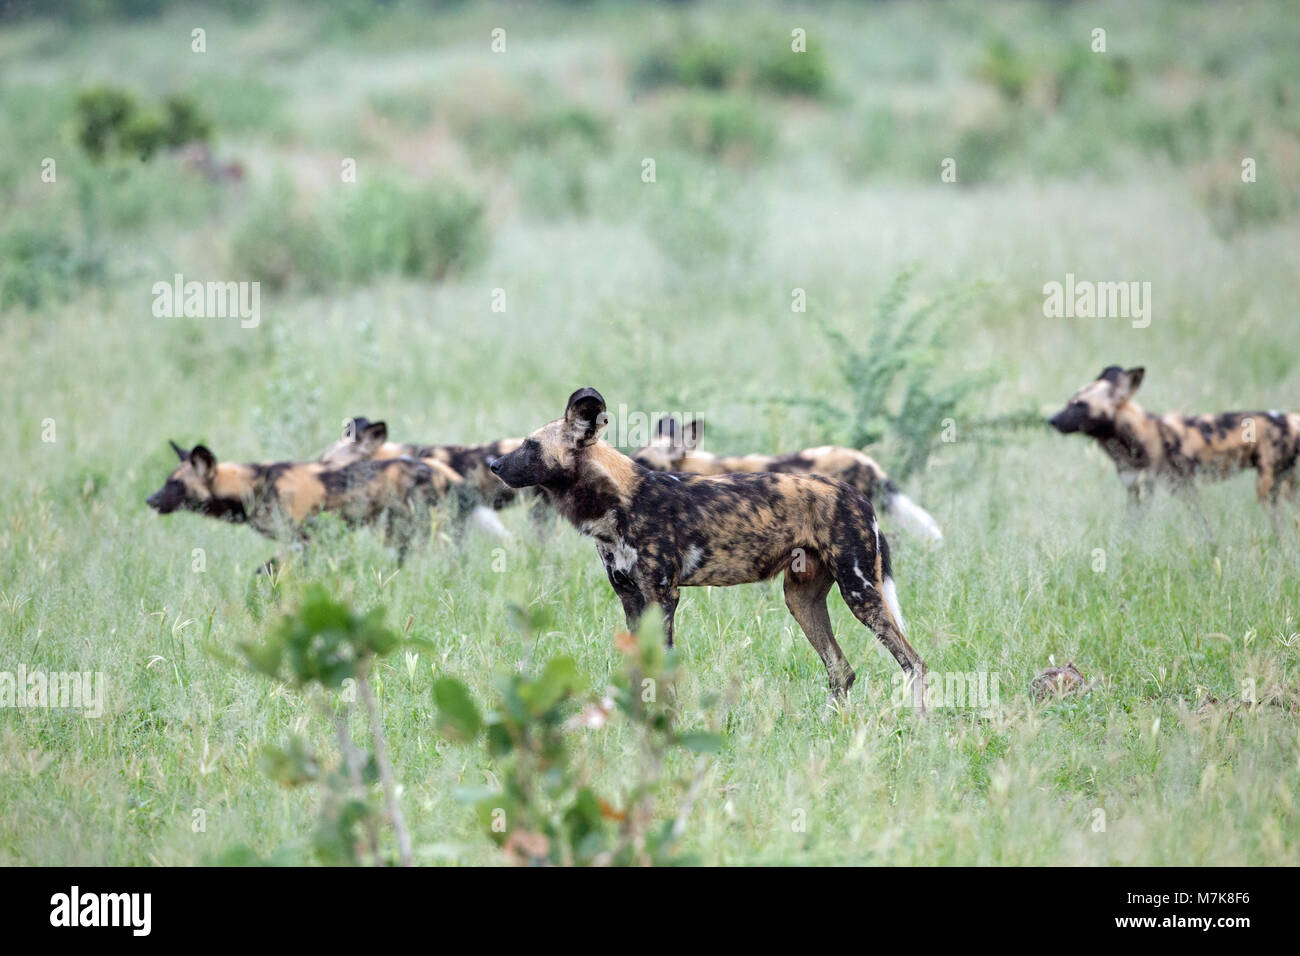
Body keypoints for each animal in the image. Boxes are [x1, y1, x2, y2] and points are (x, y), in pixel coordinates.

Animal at [488, 387, 925, 702]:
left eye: (530, 445)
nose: (493, 465)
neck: (618, 501)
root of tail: (855, 493)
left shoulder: (662, 597)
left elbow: (662, 668)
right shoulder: (630, 597)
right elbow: (640, 670)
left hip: (860, 592)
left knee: (914, 663)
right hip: (801, 599)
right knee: (841, 670)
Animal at [1045, 364, 1300, 509]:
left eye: (1080, 404)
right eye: (1070, 402)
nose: (1052, 420)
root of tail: (1291, 418)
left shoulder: (1184, 489)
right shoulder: (1134, 490)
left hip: (1267, 489)